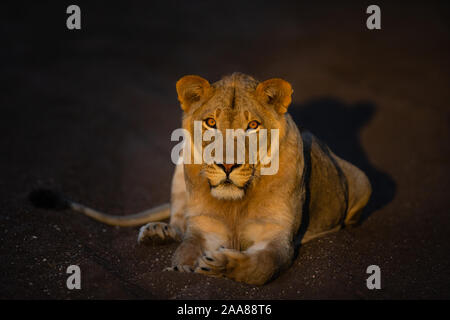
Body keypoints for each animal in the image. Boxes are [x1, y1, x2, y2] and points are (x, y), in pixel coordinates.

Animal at [29, 72, 372, 284]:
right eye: (210, 122)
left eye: (252, 126)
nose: (227, 166)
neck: (236, 202)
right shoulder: (205, 228)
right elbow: (187, 246)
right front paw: (183, 267)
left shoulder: (277, 237)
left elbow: (262, 267)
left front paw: (225, 264)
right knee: (179, 223)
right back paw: (157, 232)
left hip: (362, 181)